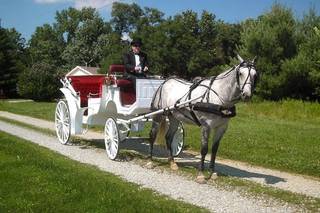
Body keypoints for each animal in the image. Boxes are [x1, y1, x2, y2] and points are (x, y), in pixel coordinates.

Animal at [149, 55, 258, 183]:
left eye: (255, 75)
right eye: (240, 73)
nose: (247, 95)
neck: (219, 96)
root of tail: (165, 82)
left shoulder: (222, 127)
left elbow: (214, 149)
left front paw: (212, 172)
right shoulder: (206, 126)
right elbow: (204, 149)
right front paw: (201, 174)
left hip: (174, 118)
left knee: (168, 137)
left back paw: (172, 162)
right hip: (158, 115)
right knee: (152, 135)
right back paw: (150, 160)